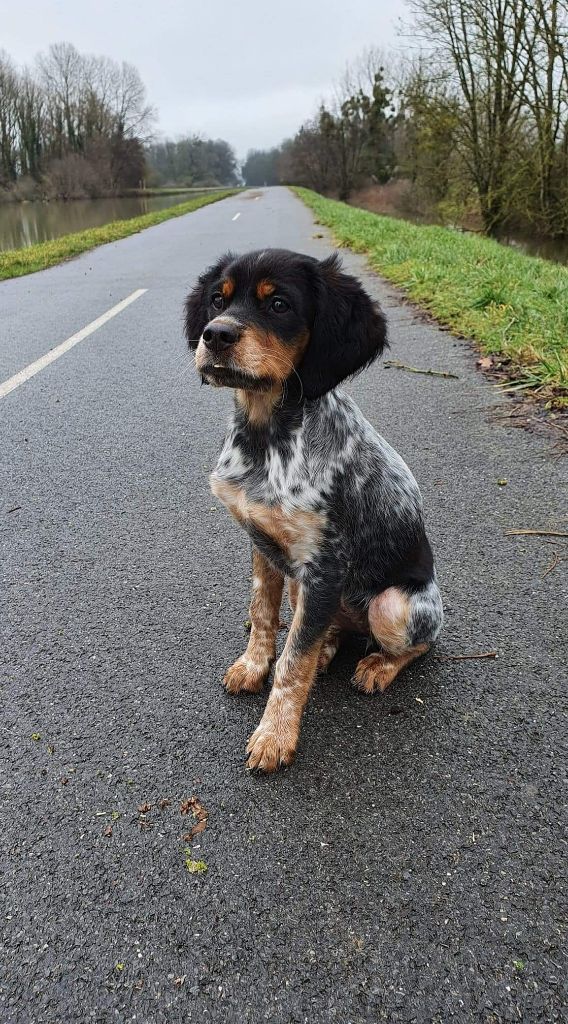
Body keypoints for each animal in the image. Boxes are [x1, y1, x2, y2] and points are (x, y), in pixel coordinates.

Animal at [184, 251, 442, 770]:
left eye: (279, 304)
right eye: (218, 300)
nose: (215, 335)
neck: (266, 438)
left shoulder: (325, 565)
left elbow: (293, 660)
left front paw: (275, 735)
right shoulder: (263, 545)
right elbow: (264, 616)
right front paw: (253, 666)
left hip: (394, 604)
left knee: (419, 643)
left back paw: (377, 666)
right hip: (306, 588)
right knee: (328, 628)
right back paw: (330, 648)